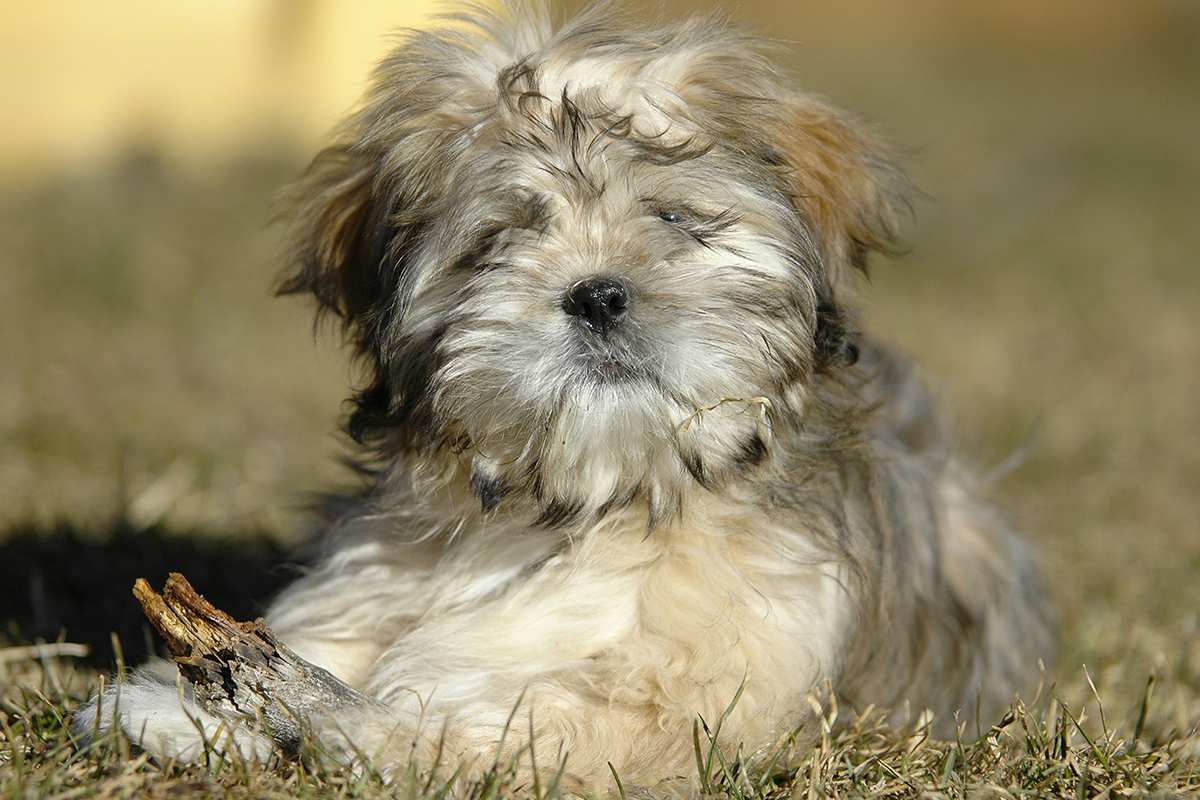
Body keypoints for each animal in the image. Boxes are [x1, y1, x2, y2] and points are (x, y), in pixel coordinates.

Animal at [75, 0, 1056, 786]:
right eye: (499, 239)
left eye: (672, 218)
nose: (596, 294)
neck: (586, 500)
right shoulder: (371, 576)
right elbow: (317, 636)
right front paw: (193, 704)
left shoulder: (702, 691)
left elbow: (534, 722)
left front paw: (361, 726)